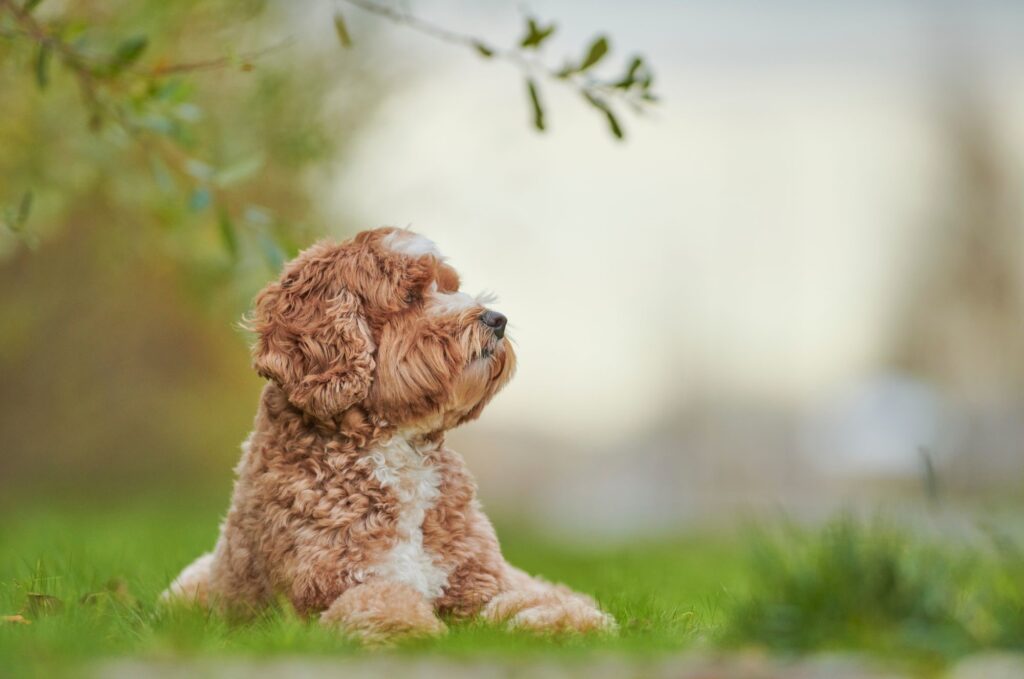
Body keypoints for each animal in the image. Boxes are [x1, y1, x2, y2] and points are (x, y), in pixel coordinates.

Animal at [163, 227, 614, 643]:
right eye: (411, 295)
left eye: (450, 286)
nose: (496, 320)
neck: (398, 449)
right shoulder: (324, 593)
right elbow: (380, 600)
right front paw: (412, 627)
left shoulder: (478, 580)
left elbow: (519, 599)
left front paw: (566, 619)